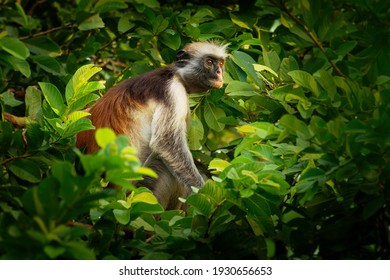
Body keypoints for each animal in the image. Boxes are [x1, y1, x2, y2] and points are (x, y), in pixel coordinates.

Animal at [76, 40, 229, 209]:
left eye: (220, 63)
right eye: (209, 62)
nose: (219, 72)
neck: (175, 75)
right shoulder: (173, 92)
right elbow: (165, 143)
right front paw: (207, 195)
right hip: (141, 189)